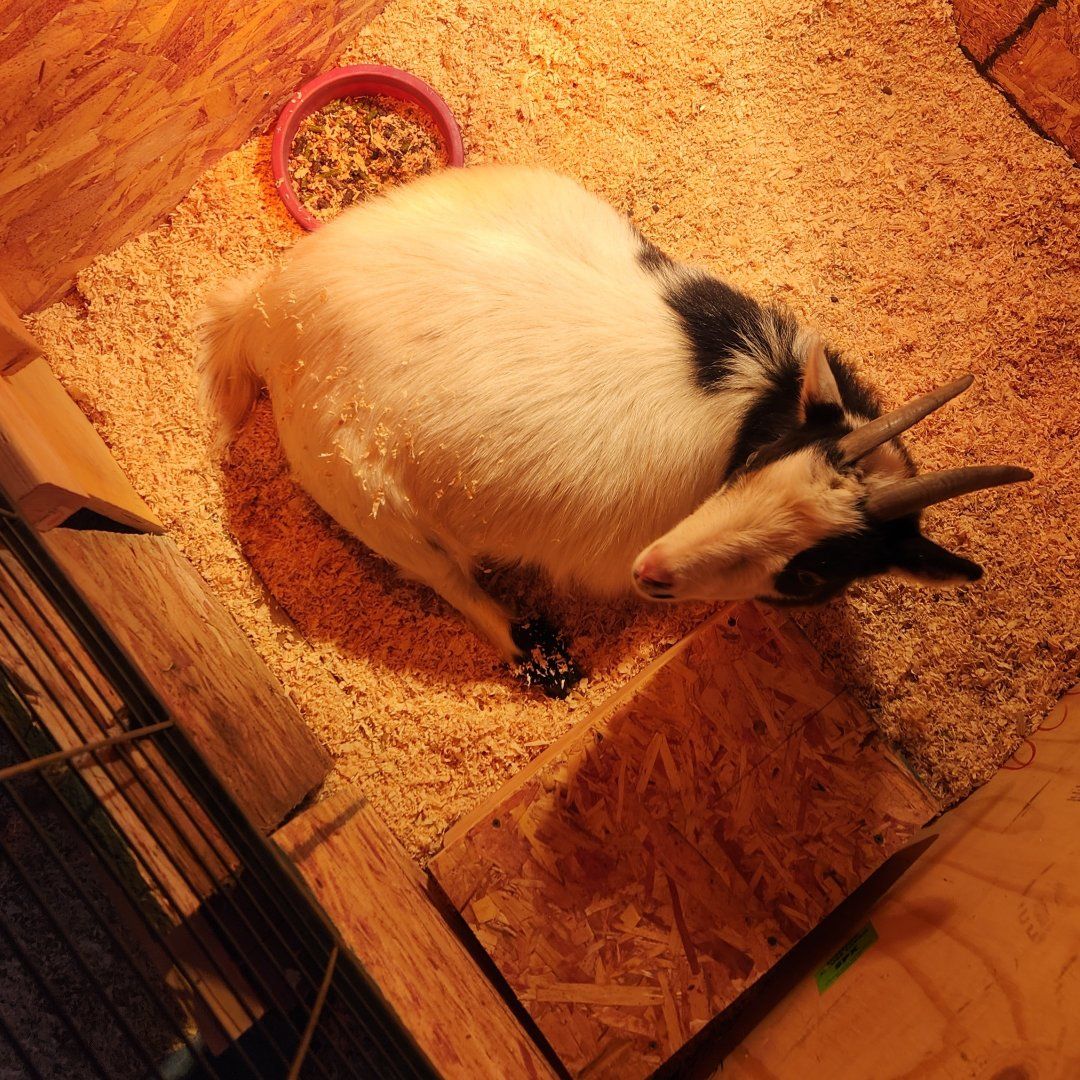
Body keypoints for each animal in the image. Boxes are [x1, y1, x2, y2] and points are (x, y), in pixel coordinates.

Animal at [199, 165, 1030, 696]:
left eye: (814, 573)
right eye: (754, 464)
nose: (654, 571)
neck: (756, 402)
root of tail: (266, 311)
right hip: (369, 497)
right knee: (449, 581)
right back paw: (542, 660)